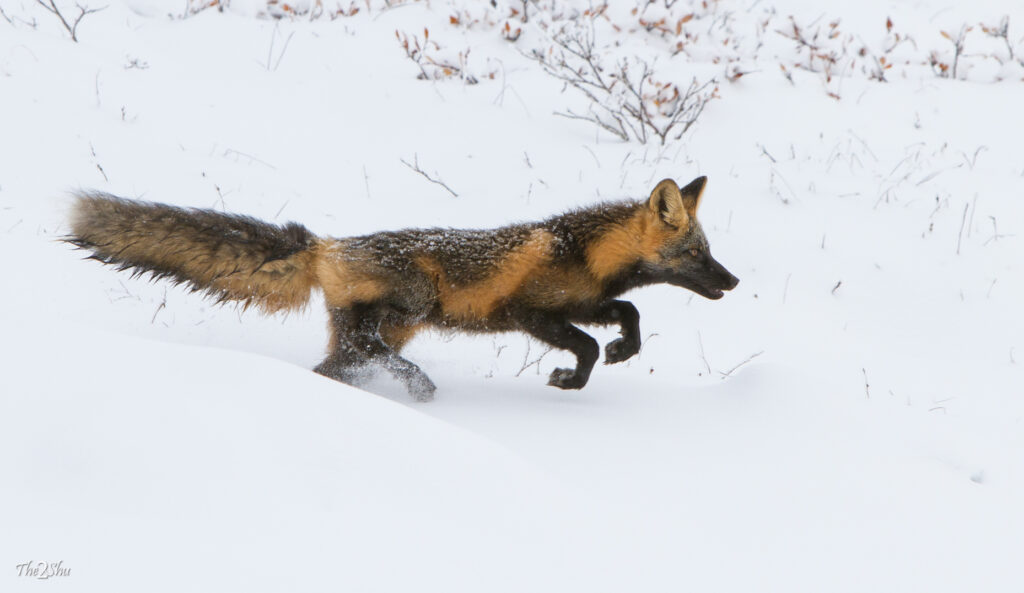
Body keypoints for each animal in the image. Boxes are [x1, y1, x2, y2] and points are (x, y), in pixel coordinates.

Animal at [66, 176, 738, 400]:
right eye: (696, 254)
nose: (733, 281)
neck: (581, 253)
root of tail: (327, 245)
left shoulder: (585, 302)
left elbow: (627, 313)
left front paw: (627, 349)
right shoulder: (528, 311)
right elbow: (590, 345)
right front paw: (570, 380)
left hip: (392, 323)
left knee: (341, 360)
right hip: (414, 303)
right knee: (368, 348)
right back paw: (417, 384)